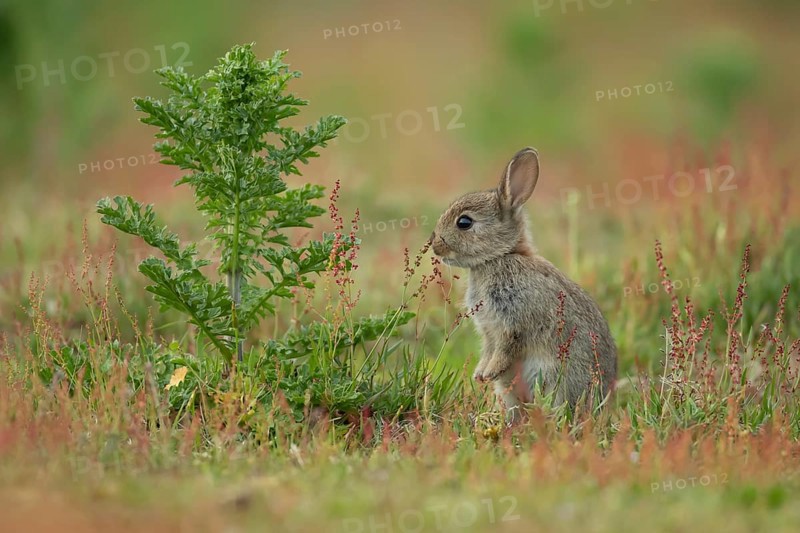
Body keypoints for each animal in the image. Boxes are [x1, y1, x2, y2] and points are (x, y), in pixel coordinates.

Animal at [430, 147, 617, 420]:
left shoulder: (515, 322)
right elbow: (489, 349)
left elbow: (506, 348)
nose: (434, 245)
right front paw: (480, 374)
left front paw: (488, 372)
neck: (500, 257)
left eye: (464, 222)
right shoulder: (489, 330)